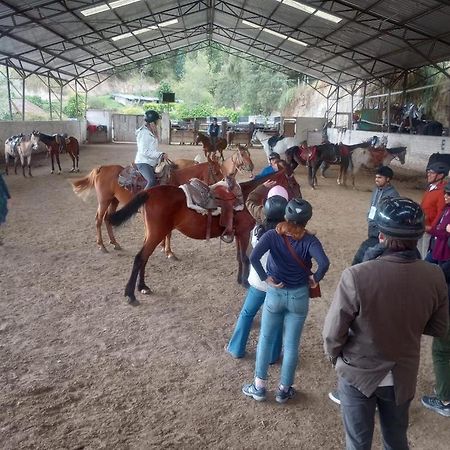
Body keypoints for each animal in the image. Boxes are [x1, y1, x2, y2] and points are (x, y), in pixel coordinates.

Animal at [107, 166, 300, 306]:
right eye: (294, 184)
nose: (299, 200)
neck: (245, 198)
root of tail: (149, 192)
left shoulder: (238, 234)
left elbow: (239, 257)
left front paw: (239, 279)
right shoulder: (244, 233)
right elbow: (245, 258)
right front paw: (245, 282)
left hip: (151, 234)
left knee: (144, 258)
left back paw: (143, 287)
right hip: (157, 233)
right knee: (140, 258)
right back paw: (131, 294)